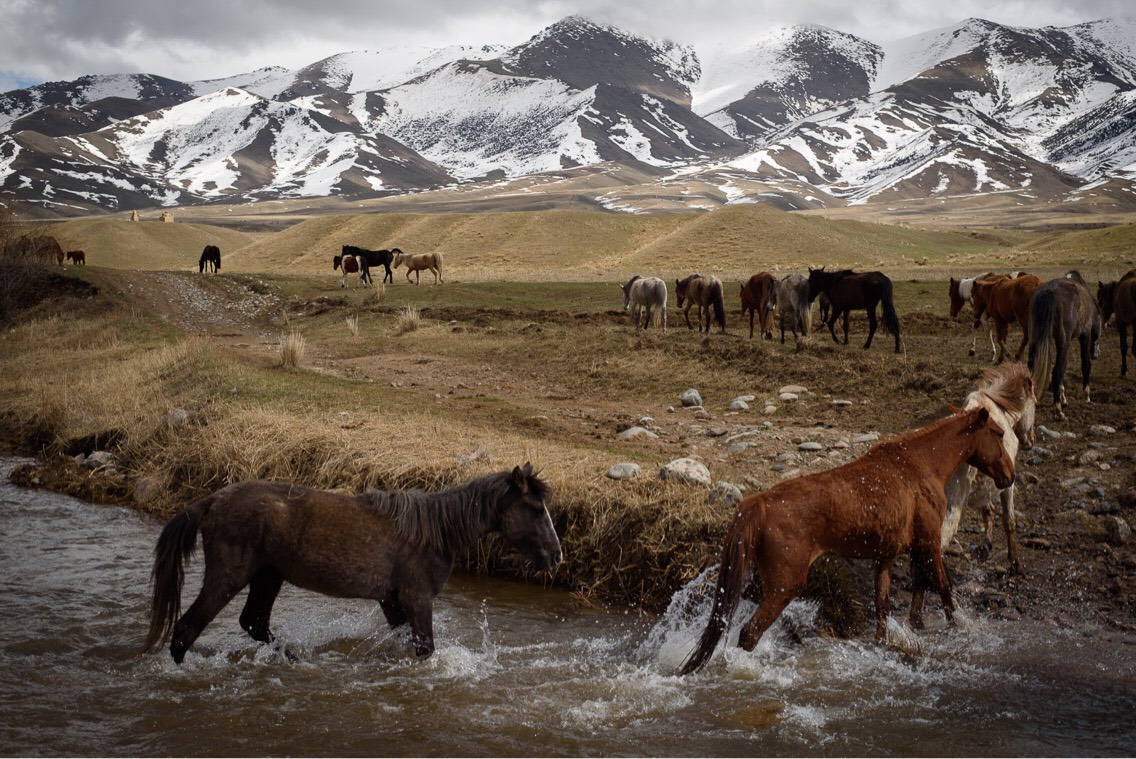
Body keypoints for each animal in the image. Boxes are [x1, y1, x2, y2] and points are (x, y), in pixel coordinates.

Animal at [677, 406, 1017, 672]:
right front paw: (961, 630)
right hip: (784, 585)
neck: (920, 465)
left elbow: (882, 608)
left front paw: (882, 647)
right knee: (749, 633)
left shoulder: (885, 557)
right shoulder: (929, 543)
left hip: (764, 582)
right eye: (998, 433)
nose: (1010, 476)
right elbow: (945, 591)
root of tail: (759, 503)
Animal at [940, 361, 1040, 574]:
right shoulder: (1007, 482)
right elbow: (1009, 520)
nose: (1031, 440)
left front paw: (985, 547)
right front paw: (1015, 563)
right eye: (1035, 404)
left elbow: (989, 511)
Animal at [1031, 269, 1099, 418]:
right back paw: (1058, 410)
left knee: (1032, 365)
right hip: (1063, 340)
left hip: (1035, 338)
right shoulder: (1085, 335)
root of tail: (1048, 292)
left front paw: (1064, 399)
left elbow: (1064, 367)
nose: (1096, 354)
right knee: (1056, 371)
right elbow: (1085, 365)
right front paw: (1087, 396)